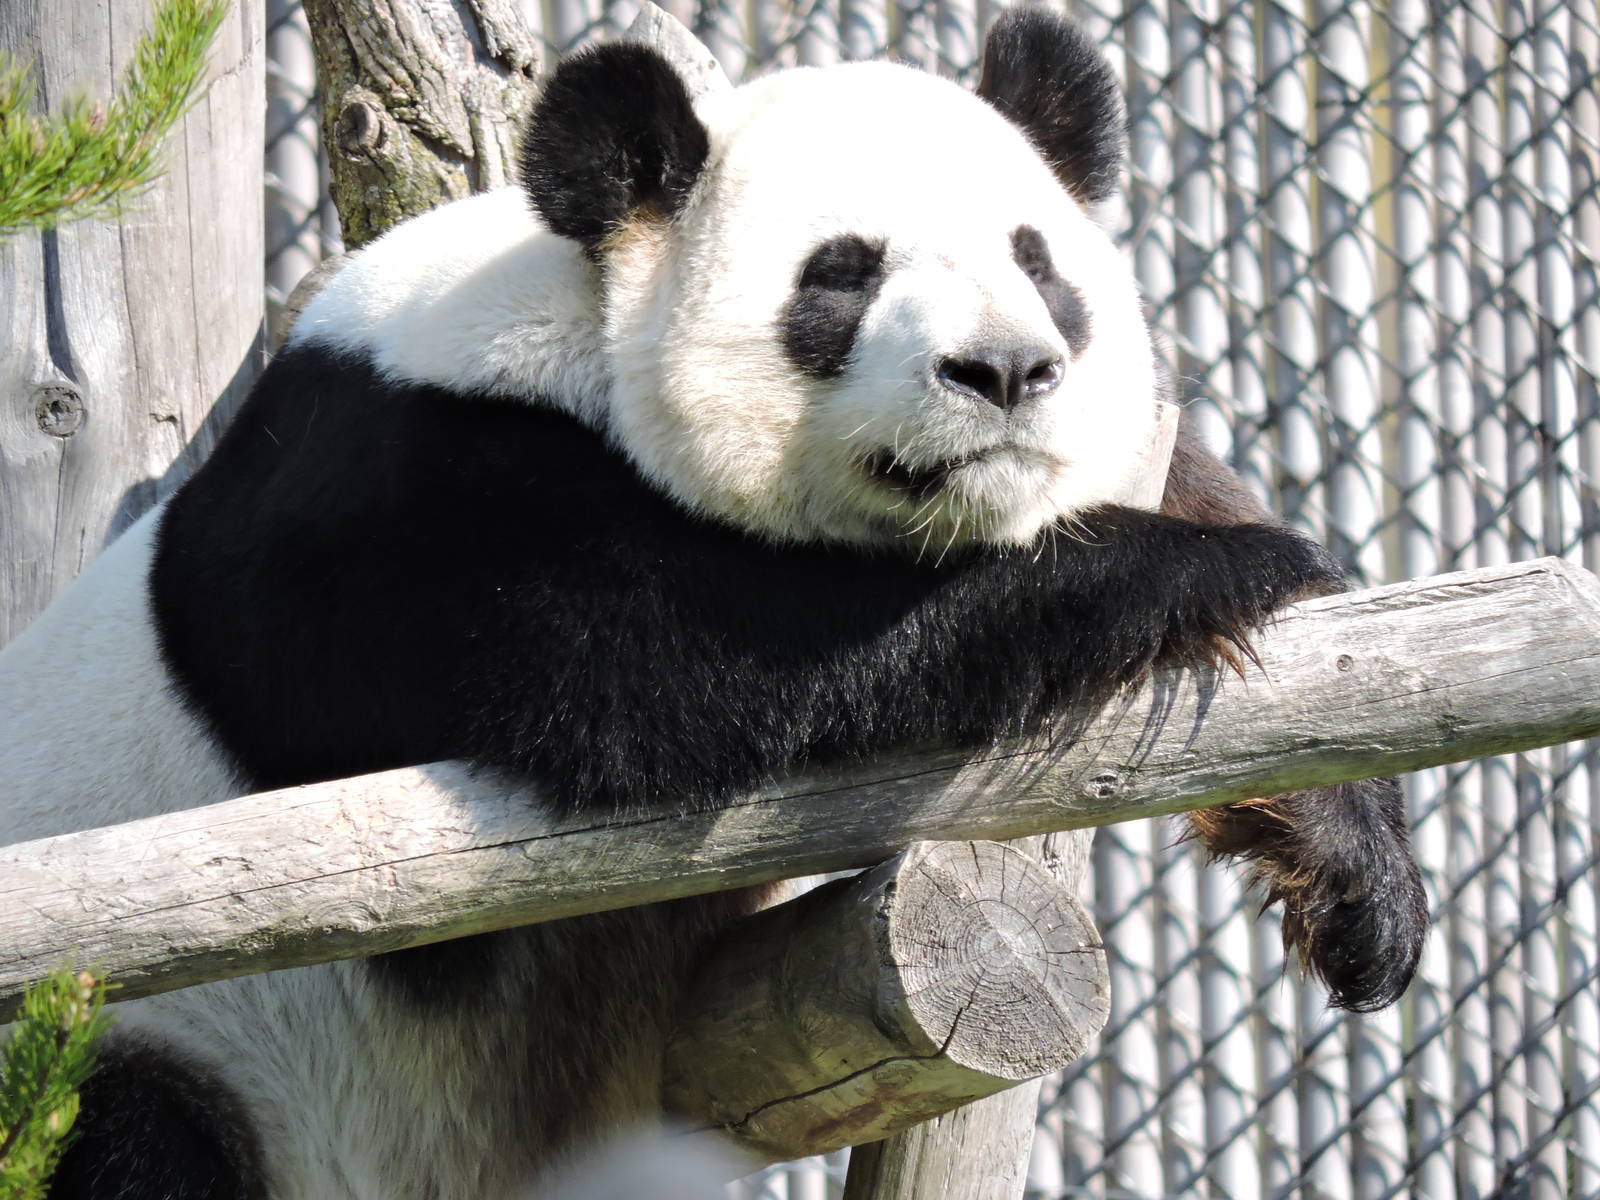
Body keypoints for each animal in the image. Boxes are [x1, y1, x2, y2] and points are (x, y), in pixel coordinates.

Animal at [0, 10, 1429, 1199]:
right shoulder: (404, 497)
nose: (1007, 372)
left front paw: (1356, 879)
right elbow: (671, 666)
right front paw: (1217, 570)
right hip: (146, 1032)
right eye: (842, 275)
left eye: (1039, 263)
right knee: (138, 1143)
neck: (572, 321)